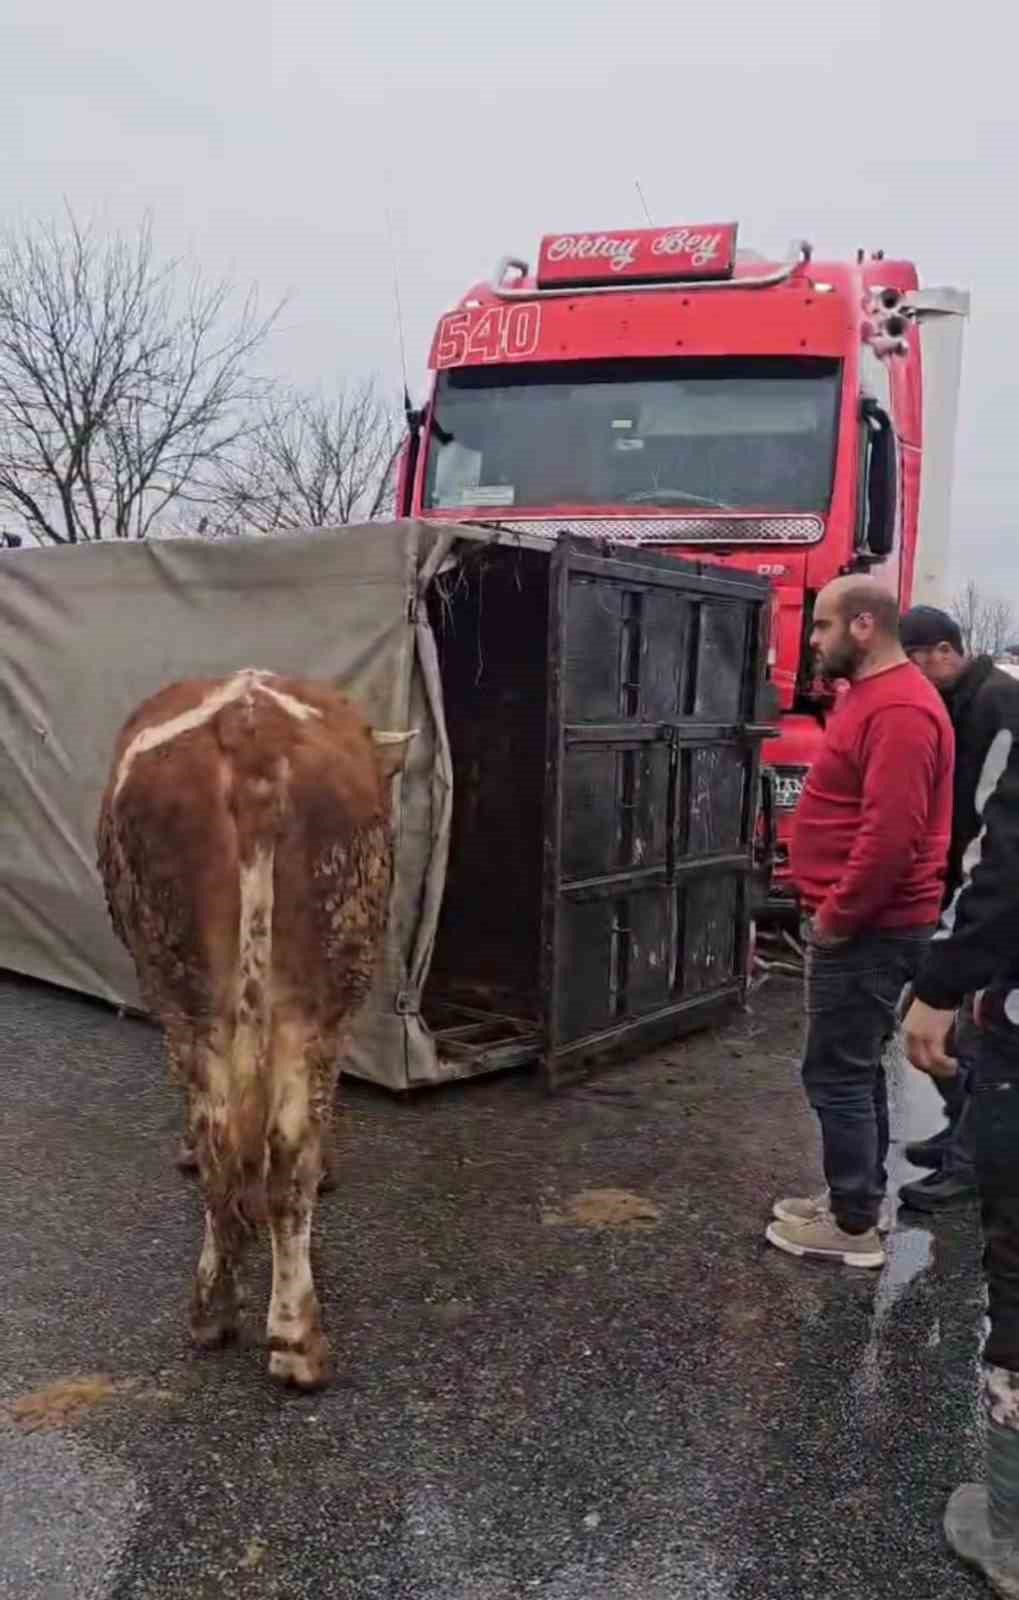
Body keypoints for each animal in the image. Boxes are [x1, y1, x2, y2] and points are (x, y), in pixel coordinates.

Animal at [96, 665, 412, 1388]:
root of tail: (251, 729)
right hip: (318, 985)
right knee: (282, 1152)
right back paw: (291, 1341)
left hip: (190, 984)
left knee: (233, 1146)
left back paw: (224, 1318)